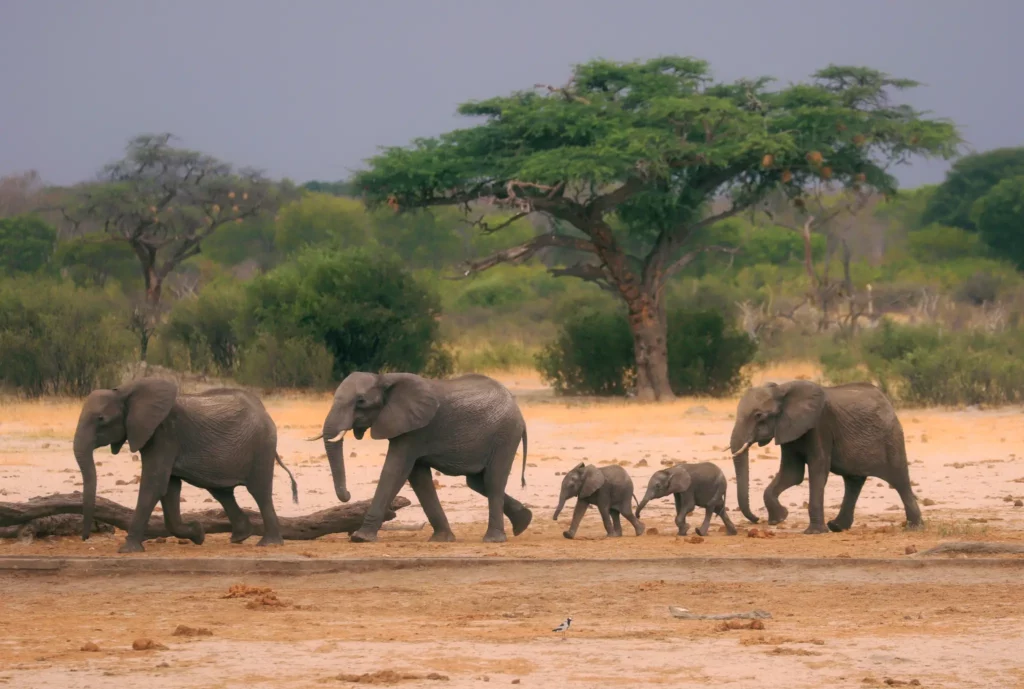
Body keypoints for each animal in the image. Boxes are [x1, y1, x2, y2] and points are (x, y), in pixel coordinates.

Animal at [71, 378, 296, 552]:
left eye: (101, 419)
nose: (85, 538)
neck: (126, 392)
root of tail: (264, 411)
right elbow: (169, 488)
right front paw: (198, 533)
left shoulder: (164, 434)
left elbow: (154, 485)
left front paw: (127, 550)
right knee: (221, 491)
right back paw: (240, 537)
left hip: (262, 446)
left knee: (259, 492)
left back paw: (269, 544)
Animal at [311, 370, 532, 544]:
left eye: (361, 402)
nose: (347, 495)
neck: (384, 378)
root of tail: (519, 412)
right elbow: (418, 478)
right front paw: (442, 539)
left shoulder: (416, 431)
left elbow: (395, 470)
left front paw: (361, 538)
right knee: (477, 482)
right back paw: (523, 522)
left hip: (505, 436)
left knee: (493, 481)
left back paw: (493, 539)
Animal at [724, 378, 925, 536]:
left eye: (759, 416)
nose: (757, 519)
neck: (782, 390)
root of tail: (887, 402)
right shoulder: (789, 429)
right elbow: (792, 474)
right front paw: (779, 518)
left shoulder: (819, 425)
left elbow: (817, 468)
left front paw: (813, 532)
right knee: (853, 481)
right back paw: (836, 527)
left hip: (891, 436)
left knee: (899, 479)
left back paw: (914, 527)